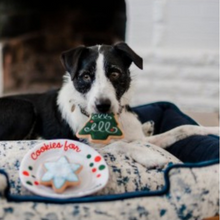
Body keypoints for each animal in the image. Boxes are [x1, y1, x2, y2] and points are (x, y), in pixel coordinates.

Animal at [0, 42, 218, 167]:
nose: (102, 105)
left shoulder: (144, 138)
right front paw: (151, 158)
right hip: (24, 108)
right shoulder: (90, 145)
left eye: (114, 73)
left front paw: (214, 128)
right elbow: (121, 144)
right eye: (85, 76)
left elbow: (183, 128)